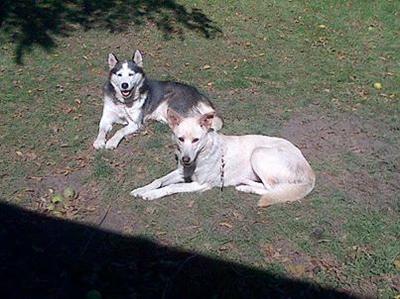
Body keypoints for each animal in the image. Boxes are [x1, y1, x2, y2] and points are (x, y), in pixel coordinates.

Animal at [132, 110, 316, 209]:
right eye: (181, 139)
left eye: (196, 140)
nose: (185, 159)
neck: (200, 155)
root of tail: (311, 173)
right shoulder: (181, 172)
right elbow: (158, 180)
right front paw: (141, 189)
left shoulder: (200, 184)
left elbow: (171, 187)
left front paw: (152, 195)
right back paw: (244, 184)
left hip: (258, 153)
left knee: (272, 189)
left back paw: (246, 186)